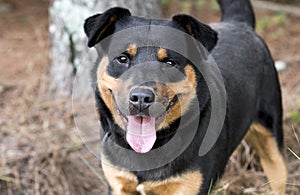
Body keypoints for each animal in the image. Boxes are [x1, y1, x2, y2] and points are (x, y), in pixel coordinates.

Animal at [83, 0, 288, 193]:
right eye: (123, 58)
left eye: (169, 62)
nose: (141, 98)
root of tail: (239, 22)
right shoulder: (118, 184)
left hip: (272, 139)